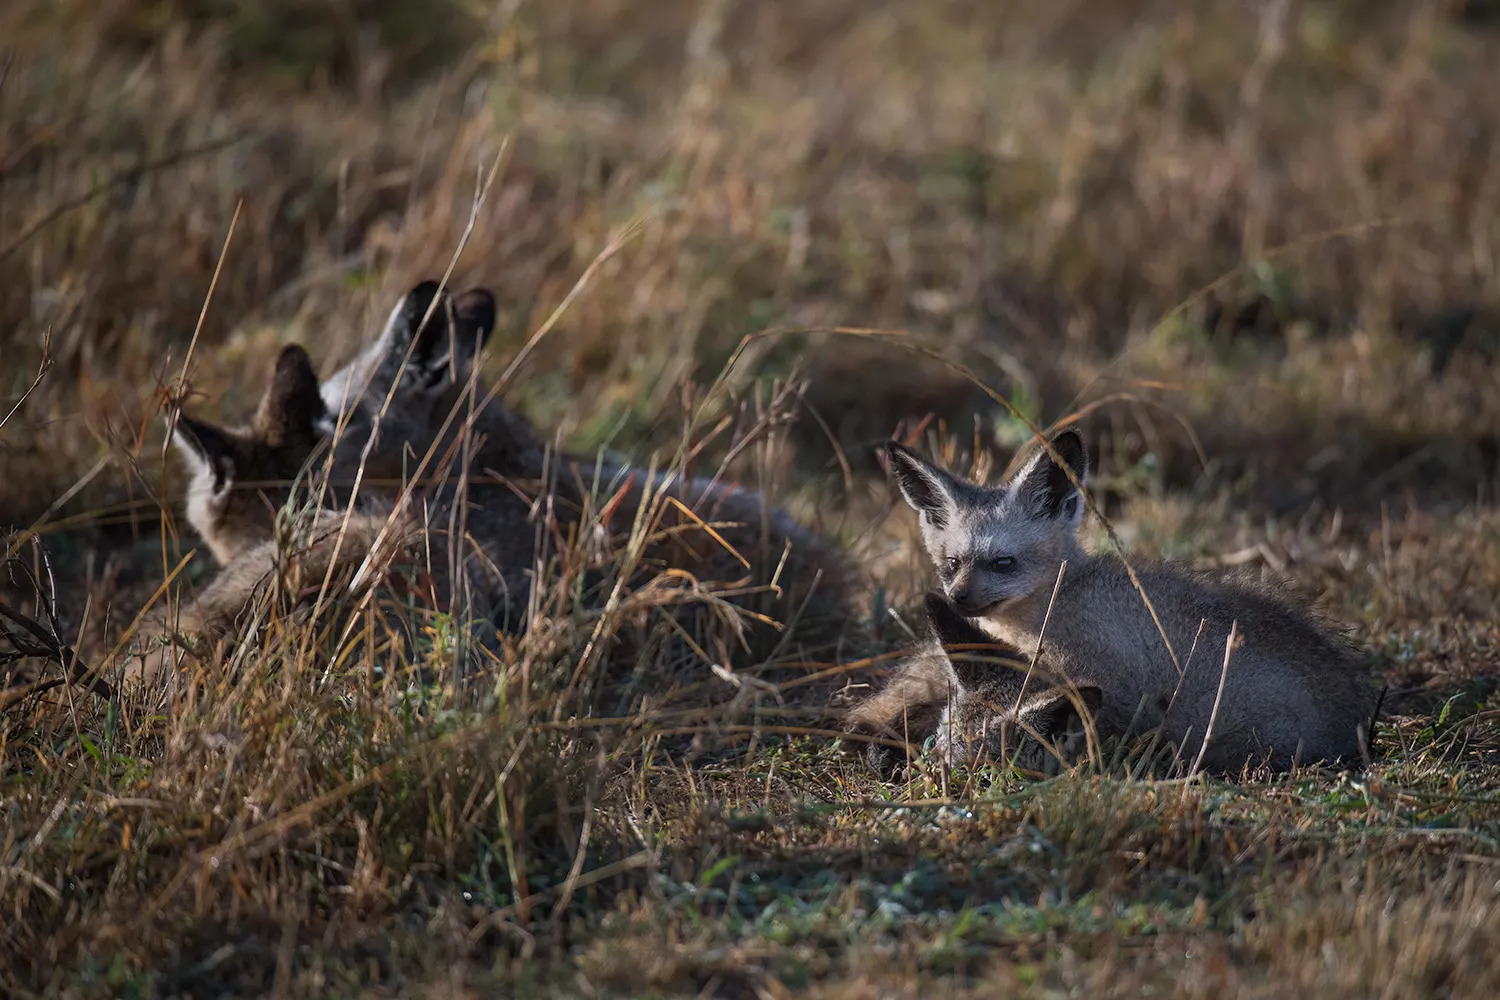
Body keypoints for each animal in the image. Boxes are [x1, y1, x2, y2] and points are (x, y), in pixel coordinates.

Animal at [858, 431, 1380, 773]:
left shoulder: (1103, 690)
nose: (959, 599)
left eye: (1003, 562)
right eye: (951, 563)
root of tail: (1358, 714)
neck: (1058, 602)